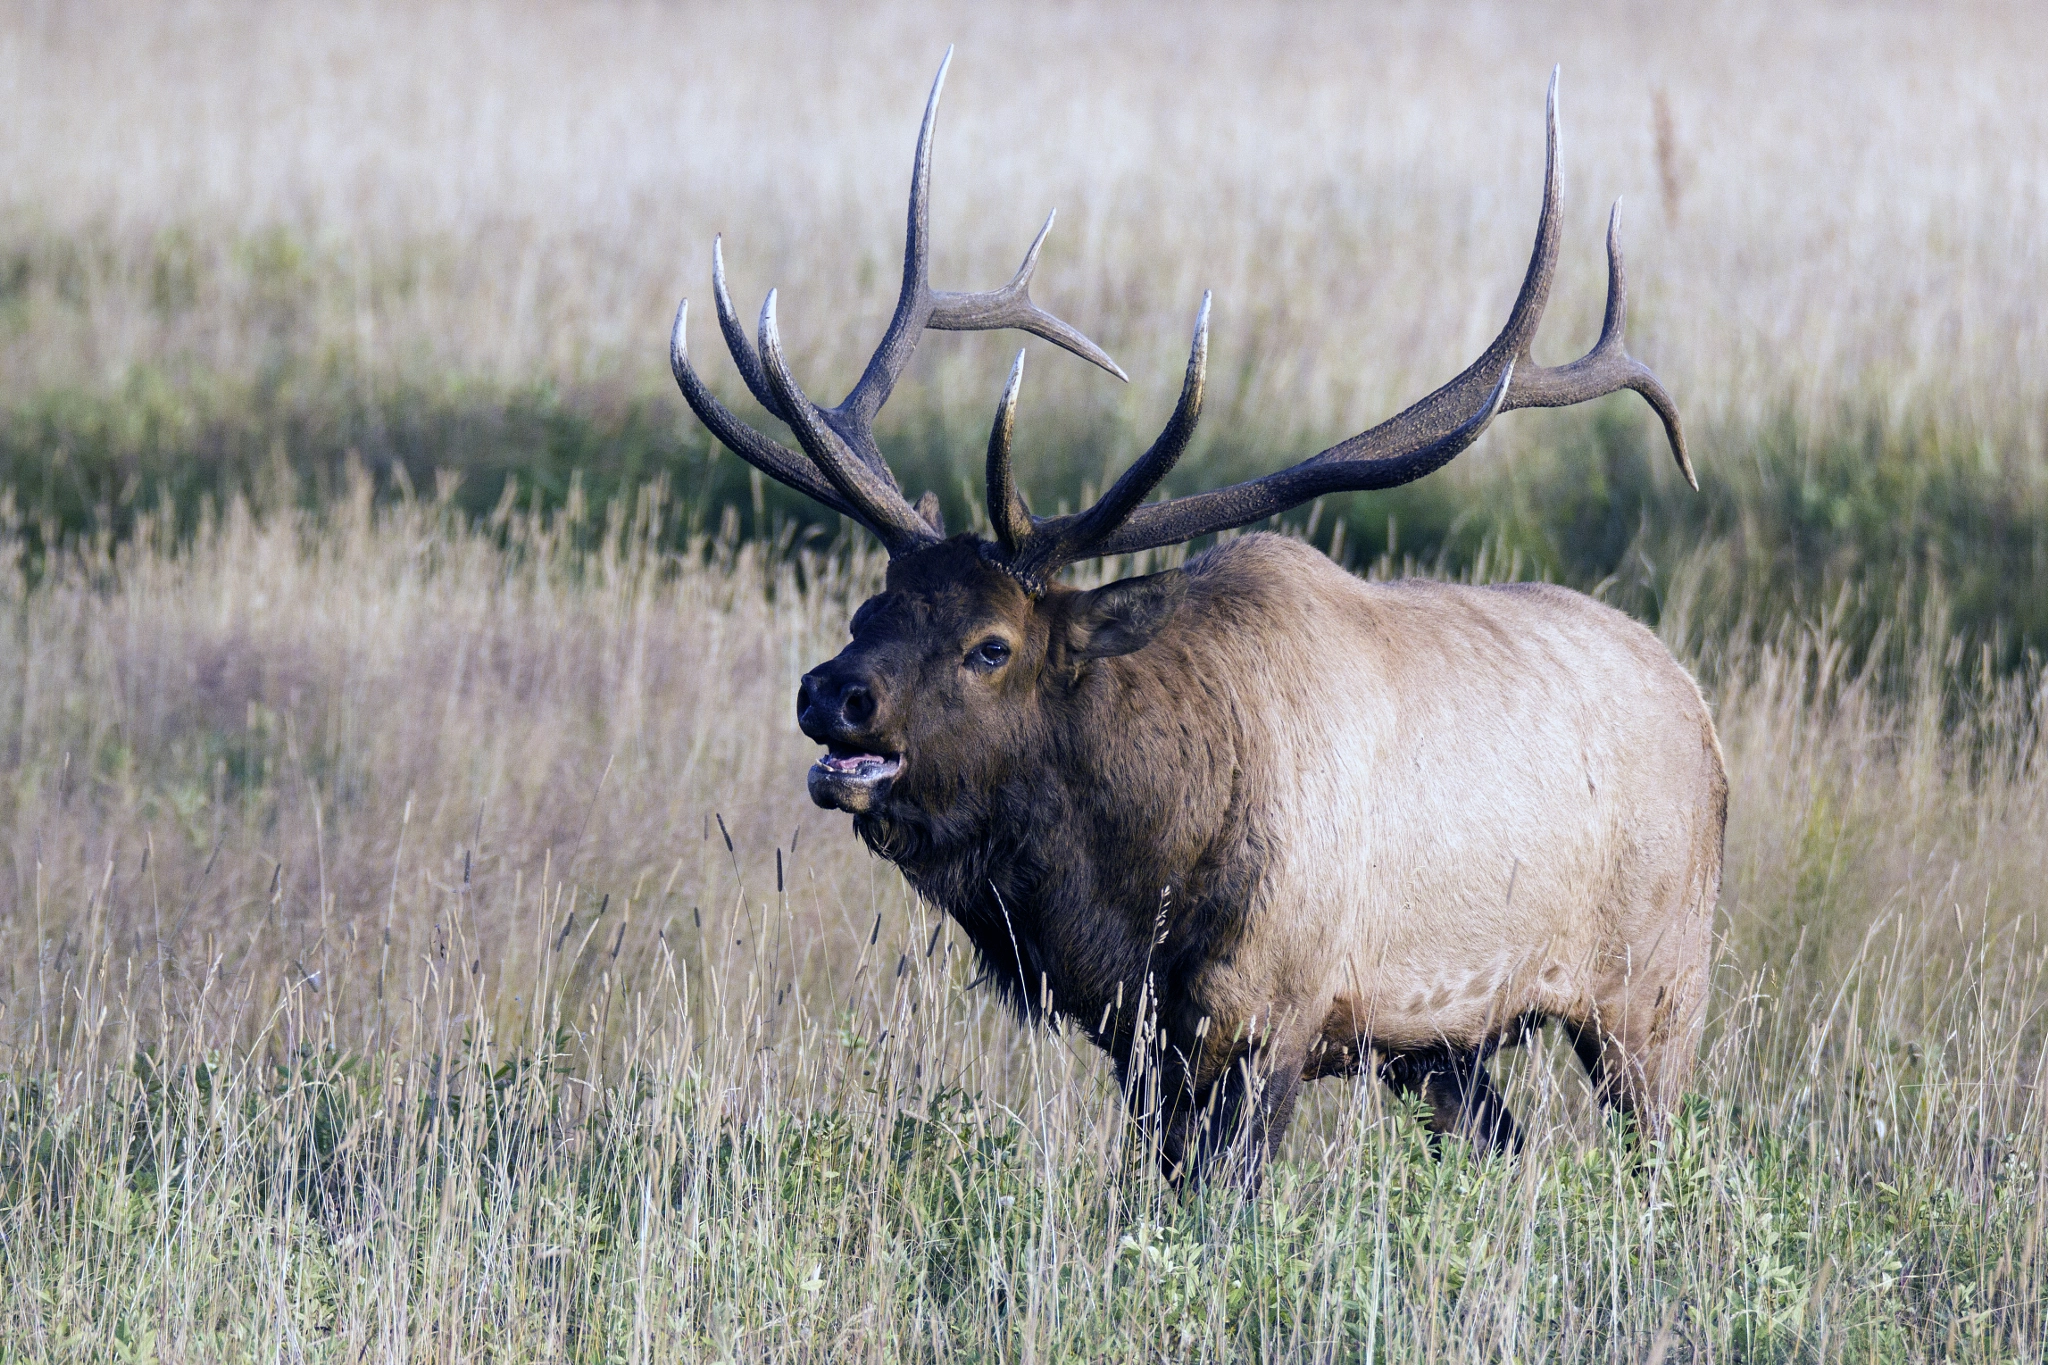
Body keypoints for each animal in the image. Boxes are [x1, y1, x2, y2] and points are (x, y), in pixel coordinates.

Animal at [668, 51, 1726, 1185]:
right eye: (870, 606)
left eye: (992, 646)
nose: (832, 692)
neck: (1133, 885)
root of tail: (1706, 724)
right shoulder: (1143, 1041)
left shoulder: (1274, 1014)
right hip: (1441, 1045)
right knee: (1503, 1142)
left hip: (1656, 988)